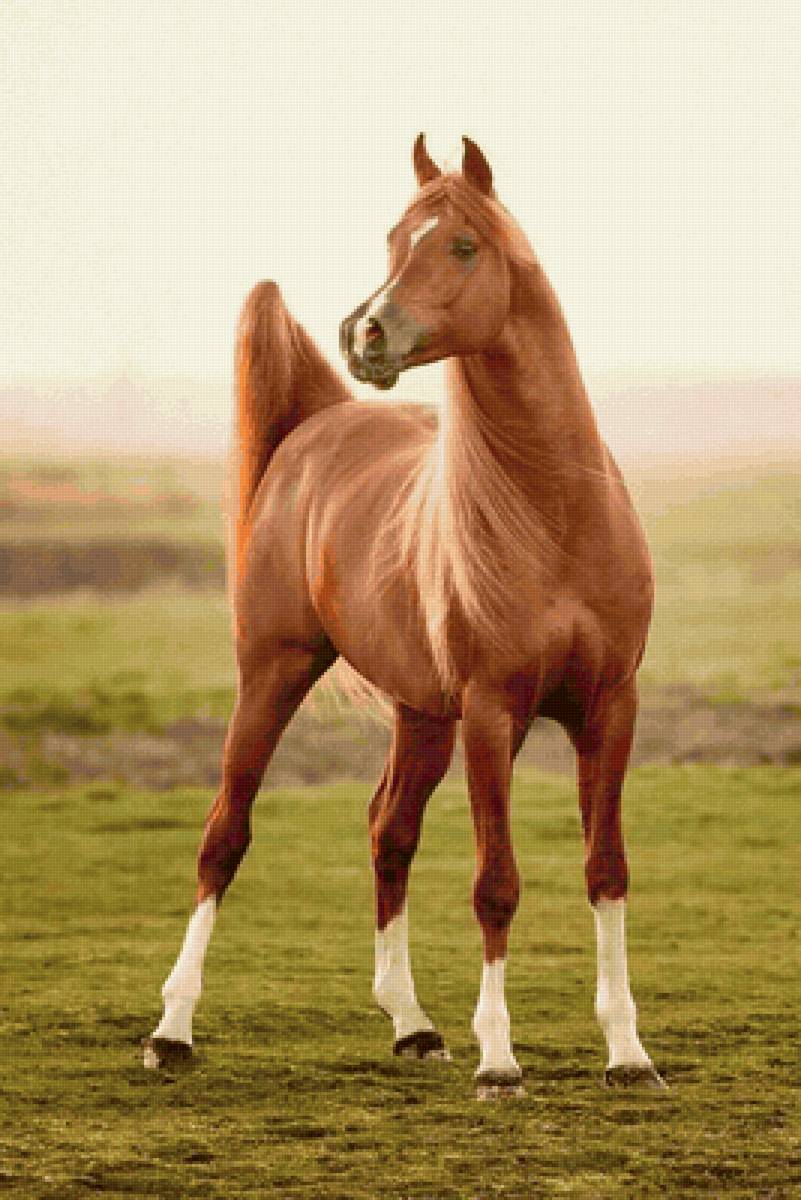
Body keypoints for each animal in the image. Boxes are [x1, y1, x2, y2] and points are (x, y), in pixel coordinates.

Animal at [144, 135, 664, 1097]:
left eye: (461, 245)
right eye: (394, 238)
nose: (365, 334)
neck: (553, 513)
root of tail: (318, 423)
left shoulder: (611, 706)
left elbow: (604, 868)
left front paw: (626, 1052)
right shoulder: (493, 714)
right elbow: (495, 883)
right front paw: (499, 1061)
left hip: (422, 715)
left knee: (389, 833)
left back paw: (412, 1024)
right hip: (272, 675)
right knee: (222, 838)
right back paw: (172, 1030)